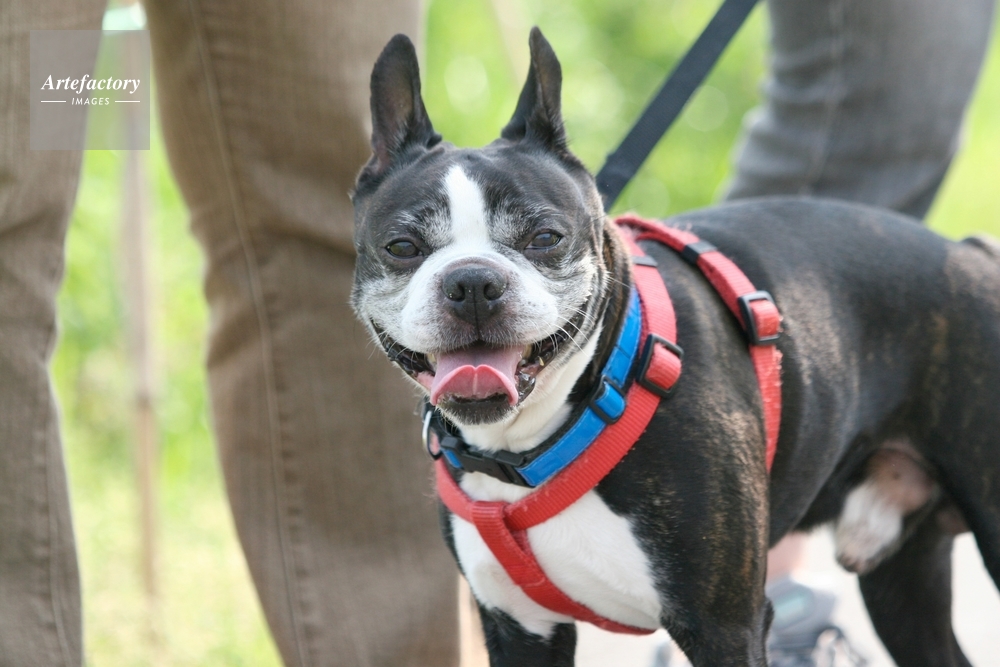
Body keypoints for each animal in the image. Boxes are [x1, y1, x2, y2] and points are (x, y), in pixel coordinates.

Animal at [350, 28, 1000, 667]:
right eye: (403, 247)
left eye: (544, 238)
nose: (473, 283)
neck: (528, 451)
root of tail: (970, 253)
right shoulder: (520, 629)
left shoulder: (724, 626)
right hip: (902, 582)